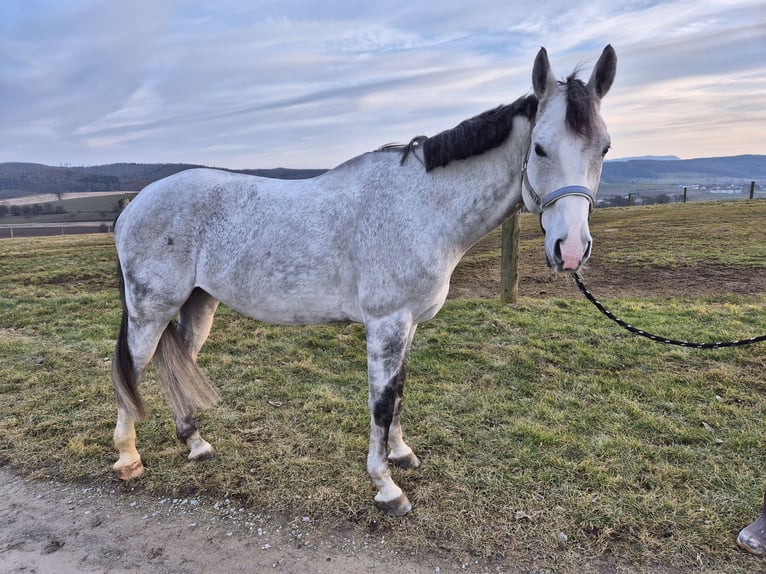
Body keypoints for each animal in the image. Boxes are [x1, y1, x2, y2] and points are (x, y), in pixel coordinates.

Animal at [112, 42, 616, 516]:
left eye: (604, 148)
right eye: (540, 147)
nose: (571, 250)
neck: (421, 208)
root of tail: (133, 207)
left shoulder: (408, 325)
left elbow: (400, 393)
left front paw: (401, 454)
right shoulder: (386, 324)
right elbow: (382, 401)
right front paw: (387, 487)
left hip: (197, 305)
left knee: (174, 364)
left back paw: (195, 443)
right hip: (150, 312)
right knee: (131, 371)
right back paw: (128, 458)